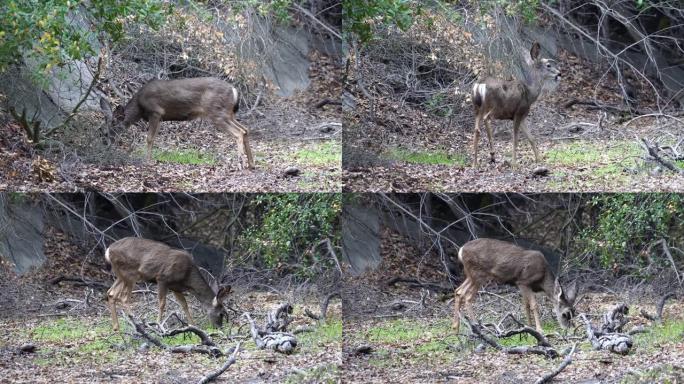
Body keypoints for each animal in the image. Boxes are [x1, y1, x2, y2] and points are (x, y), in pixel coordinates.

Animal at [108, 77, 255, 169]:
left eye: (114, 122)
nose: (108, 136)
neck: (139, 107)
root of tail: (234, 90)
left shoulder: (155, 112)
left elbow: (149, 138)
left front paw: (146, 160)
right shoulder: (160, 118)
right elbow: (153, 138)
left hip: (217, 112)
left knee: (238, 132)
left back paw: (241, 164)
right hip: (228, 113)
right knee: (245, 129)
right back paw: (251, 164)